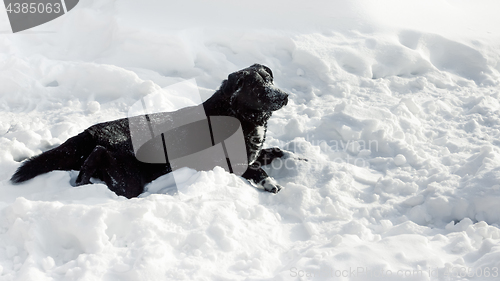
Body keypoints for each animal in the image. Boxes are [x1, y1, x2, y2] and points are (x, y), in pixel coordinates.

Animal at [10, 64, 290, 198]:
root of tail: (89, 133)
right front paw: (271, 183)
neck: (237, 115)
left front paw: (293, 156)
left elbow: (272, 151)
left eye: (270, 79)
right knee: (100, 158)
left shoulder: (252, 152)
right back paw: (83, 179)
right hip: (130, 177)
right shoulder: (229, 163)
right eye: (257, 87)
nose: (285, 95)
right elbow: (257, 169)